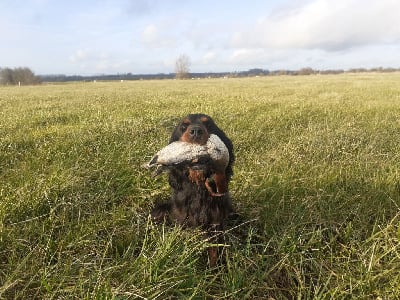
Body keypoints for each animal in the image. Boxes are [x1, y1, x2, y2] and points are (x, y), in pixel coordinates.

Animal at [152, 113, 236, 266]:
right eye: (183, 126)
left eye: (208, 124)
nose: (196, 131)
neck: (198, 186)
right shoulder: (181, 218)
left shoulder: (215, 221)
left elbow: (214, 249)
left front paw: (215, 268)